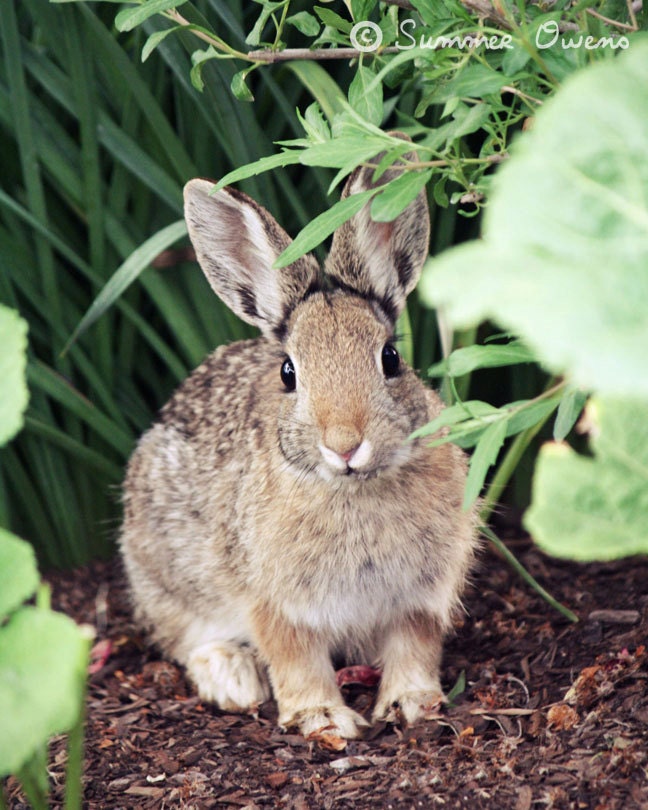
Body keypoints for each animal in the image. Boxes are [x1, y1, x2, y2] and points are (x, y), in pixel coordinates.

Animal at [120, 148, 479, 740]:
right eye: (289, 372)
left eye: (390, 359)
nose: (345, 444)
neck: (353, 489)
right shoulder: (276, 603)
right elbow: (295, 658)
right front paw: (322, 717)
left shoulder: (420, 597)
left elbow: (414, 648)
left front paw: (411, 704)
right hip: (163, 571)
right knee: (186, 636)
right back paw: (232, 678)